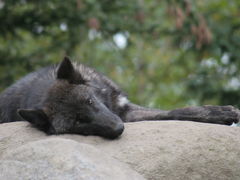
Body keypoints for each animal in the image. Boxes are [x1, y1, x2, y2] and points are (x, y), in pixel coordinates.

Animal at [0, 57, 238, 139]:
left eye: (90, 101)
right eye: (77, 122)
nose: (118, 128)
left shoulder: (124, 110)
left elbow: (175, 112)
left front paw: (220, 112)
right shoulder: (124, 116)